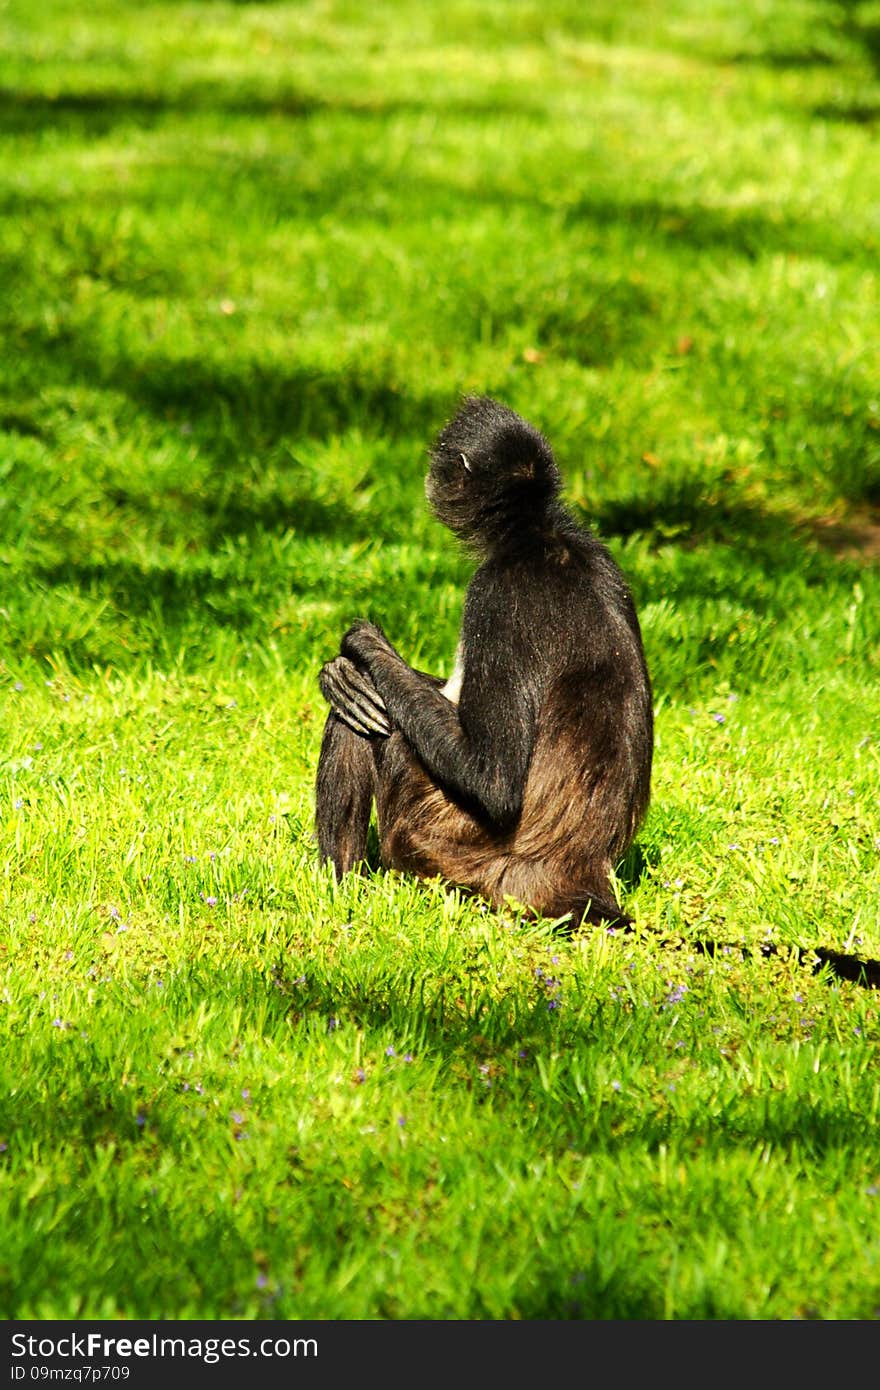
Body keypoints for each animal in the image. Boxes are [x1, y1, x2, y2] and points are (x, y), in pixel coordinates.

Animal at [315, 397, 653, 928]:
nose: (429, 477)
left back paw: (341, 896)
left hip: (440, 834)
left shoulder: (495, 593)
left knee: (371, 727)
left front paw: (360, 649)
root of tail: (576, 871)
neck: (539, 534)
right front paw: (342, 673)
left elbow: (493, 784)